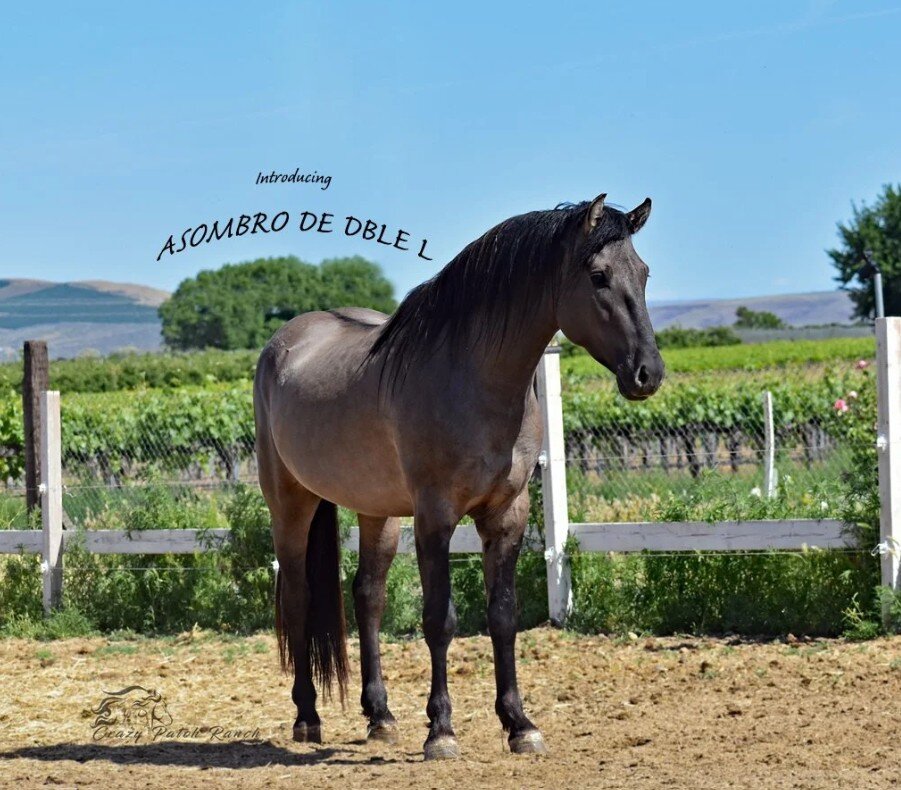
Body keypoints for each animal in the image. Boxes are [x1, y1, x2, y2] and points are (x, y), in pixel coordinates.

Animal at [253, 193, 664, 760]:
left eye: (644, 273)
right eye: (598, 276)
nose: (648, 373)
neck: (474, 380)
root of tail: (283, 342)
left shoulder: (507, 514)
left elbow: (503, 615)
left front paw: (519, 724)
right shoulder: (436, 517)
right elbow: (439, 620)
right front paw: (441, 731)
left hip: (377, 511)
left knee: (368, 597)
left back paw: (380, 716)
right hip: (291, 503)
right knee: (298, 598)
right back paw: (307, 718)